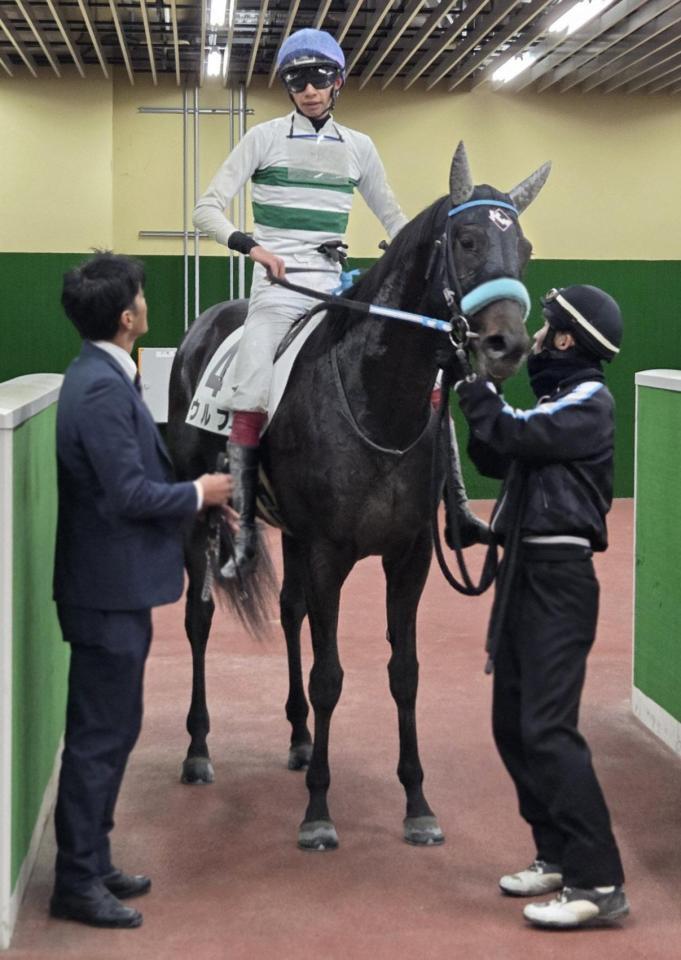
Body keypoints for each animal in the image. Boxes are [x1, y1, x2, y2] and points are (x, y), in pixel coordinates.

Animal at [167, 142, 550, 850]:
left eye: (527, 249)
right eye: (466, 238)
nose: (507, 344)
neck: (377, 399)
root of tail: (205, 325)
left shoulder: (408, 556)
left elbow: (405, 673)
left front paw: (417, 802)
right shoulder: (327, 553)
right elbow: (330, 676)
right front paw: (318, 810)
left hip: (289, 530)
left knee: (289, 612)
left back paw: (297, 738)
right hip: (201, 517)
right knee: (199, 617)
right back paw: (198, 749)